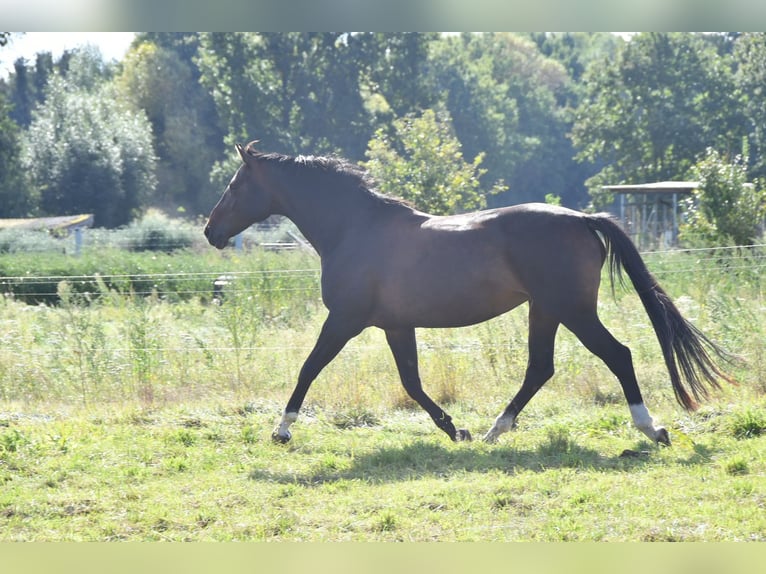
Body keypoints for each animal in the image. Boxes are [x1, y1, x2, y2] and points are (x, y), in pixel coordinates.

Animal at [207, 142, 736, 448]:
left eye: (234, 185)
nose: (211, 232)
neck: (354, 229)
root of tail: (584, 219)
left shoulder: (345, 319)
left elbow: (309, 368)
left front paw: (281, 430)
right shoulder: (395, 324)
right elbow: (412, 382)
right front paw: (454, 429)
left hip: (572, 309)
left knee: (616, 355)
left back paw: (652, 429)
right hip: (546, 310)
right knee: (540, 368)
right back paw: (492, 431)